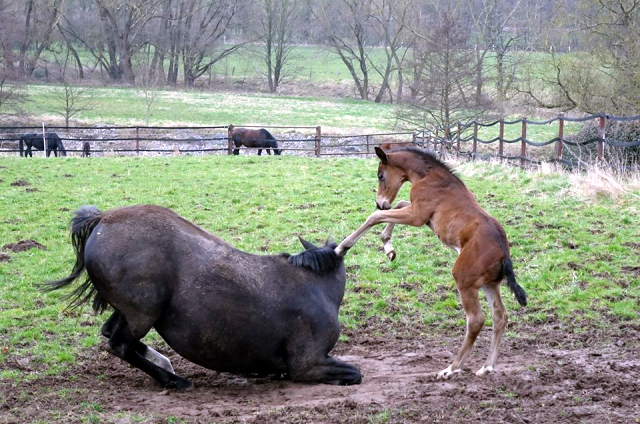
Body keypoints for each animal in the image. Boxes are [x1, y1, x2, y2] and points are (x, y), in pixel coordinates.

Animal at [41, 204, 360, 390]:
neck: (317, 285)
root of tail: (101, 219)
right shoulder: (307, 364)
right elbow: (355, 372)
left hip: (130, 312)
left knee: (112, 335)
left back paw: (166, 366)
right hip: (142, 313)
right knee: (119, 345)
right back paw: (174, 380)